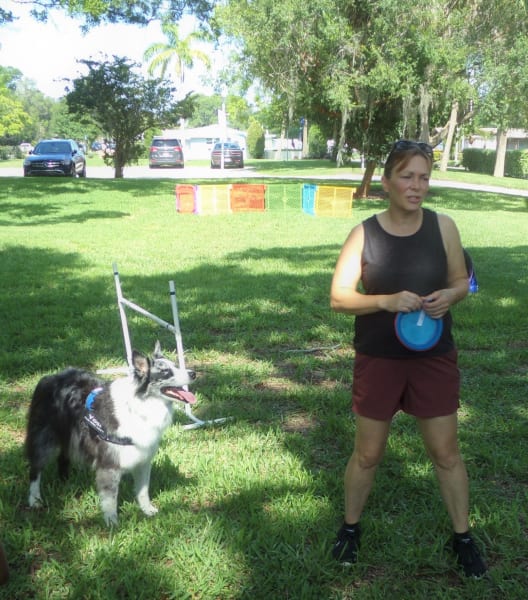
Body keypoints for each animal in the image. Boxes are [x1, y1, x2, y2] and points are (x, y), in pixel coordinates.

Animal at [24, 342, 196, 524]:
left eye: (176, 365)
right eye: (166, 372)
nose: (193, 373)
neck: (140, 405)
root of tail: (50, 377)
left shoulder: (143, 459)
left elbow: (143, 491)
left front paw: (147, 510)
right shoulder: (109, 463)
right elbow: (110, 497)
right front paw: (112, 522)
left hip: (69, 437)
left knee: (63, 458)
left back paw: (65, 483)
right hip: (44, 440)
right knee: (35, 469)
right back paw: (35, 499)